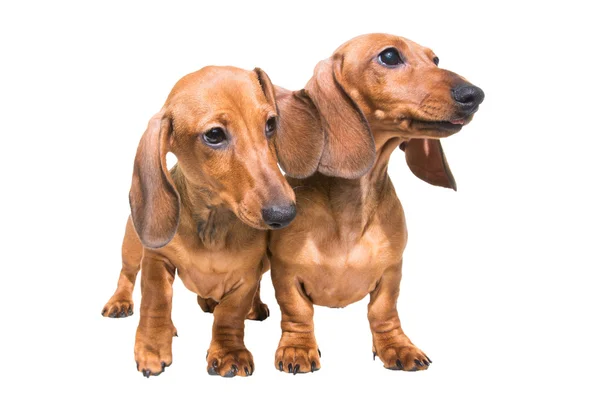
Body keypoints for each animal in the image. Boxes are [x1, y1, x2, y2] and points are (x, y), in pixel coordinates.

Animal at [270, 32, 486, 374]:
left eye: (435, 59)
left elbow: (383, 311)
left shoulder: (391, 271)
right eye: (389, 56)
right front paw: (297, 348)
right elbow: (297, 312)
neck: (352, 209)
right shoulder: (285, 273)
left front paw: (397, 347)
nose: (475, 94)